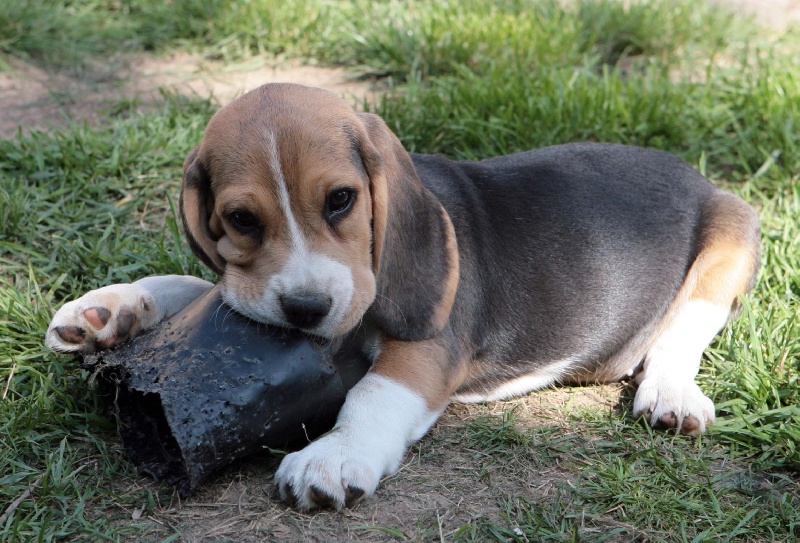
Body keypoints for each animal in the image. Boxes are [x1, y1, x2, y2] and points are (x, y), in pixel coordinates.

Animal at [46, 83, 760, 511]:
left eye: (341, 200)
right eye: (241, 219)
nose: (305, 310)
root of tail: (693, 172)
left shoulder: (427, 346)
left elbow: (374, 393)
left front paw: (332, 458)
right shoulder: (241, 280)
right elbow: (197, 284)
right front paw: (104, 309)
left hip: (731, 240)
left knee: (682, 335)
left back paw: (671, 394)